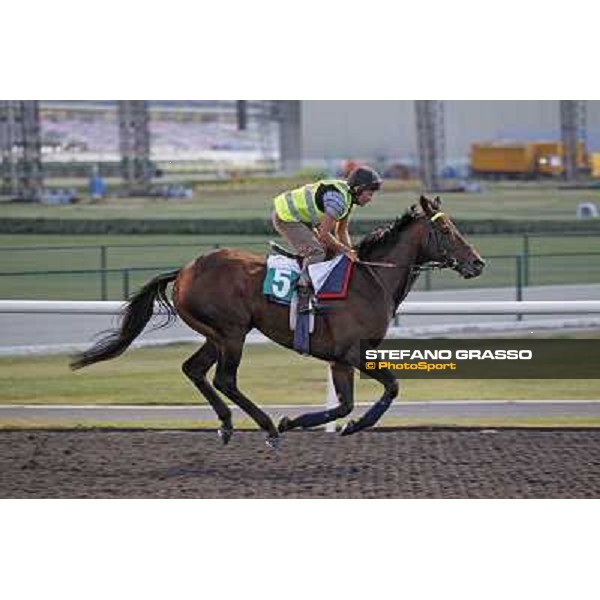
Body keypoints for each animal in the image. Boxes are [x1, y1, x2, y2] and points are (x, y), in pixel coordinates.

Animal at [71, 197, 482, 446]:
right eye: (447, 230)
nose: (477, 263)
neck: (370, 277)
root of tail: (185, 270)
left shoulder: (339, 359)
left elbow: (345, 405)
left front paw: (306, 422)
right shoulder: (354, 352)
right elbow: (391, 388)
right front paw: (318, 425)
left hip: (216, 334)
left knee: (194, 370)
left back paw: (228, 424)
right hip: (232, 331)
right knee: (224, 379)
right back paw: (267, 426)